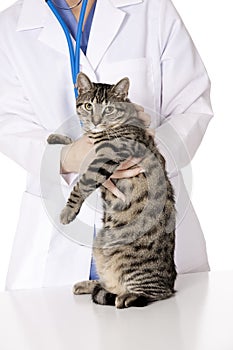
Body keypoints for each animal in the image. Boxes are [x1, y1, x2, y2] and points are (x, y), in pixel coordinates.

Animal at [47, 72, 177, 308]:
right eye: (88, 105)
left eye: (108, 109)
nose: (96, 121)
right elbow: (73, 142)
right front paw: (57, 139)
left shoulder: (107, 157)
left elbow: (81, 184)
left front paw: (68, 211)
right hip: (99, 246)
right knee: (110, 282)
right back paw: (90, 285)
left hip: (131, 263)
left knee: (156, 293)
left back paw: (127, 297)